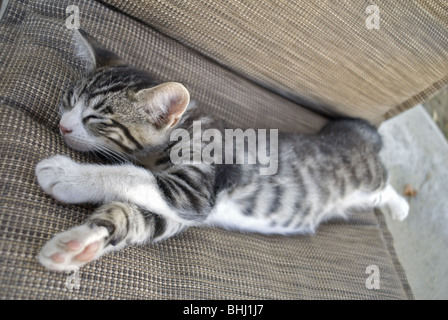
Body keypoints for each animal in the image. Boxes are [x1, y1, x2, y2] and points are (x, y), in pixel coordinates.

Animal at [36, 30, 410, 272]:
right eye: (68, 100)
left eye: (96, 118)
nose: (64, 126)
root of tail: (353, 133)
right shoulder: (178, 212)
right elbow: (137, 216)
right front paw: (79, 244)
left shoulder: (194, 193)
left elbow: (131, 174)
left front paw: (66, 175)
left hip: (368, 177)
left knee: (384, 183)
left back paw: (402, 206)